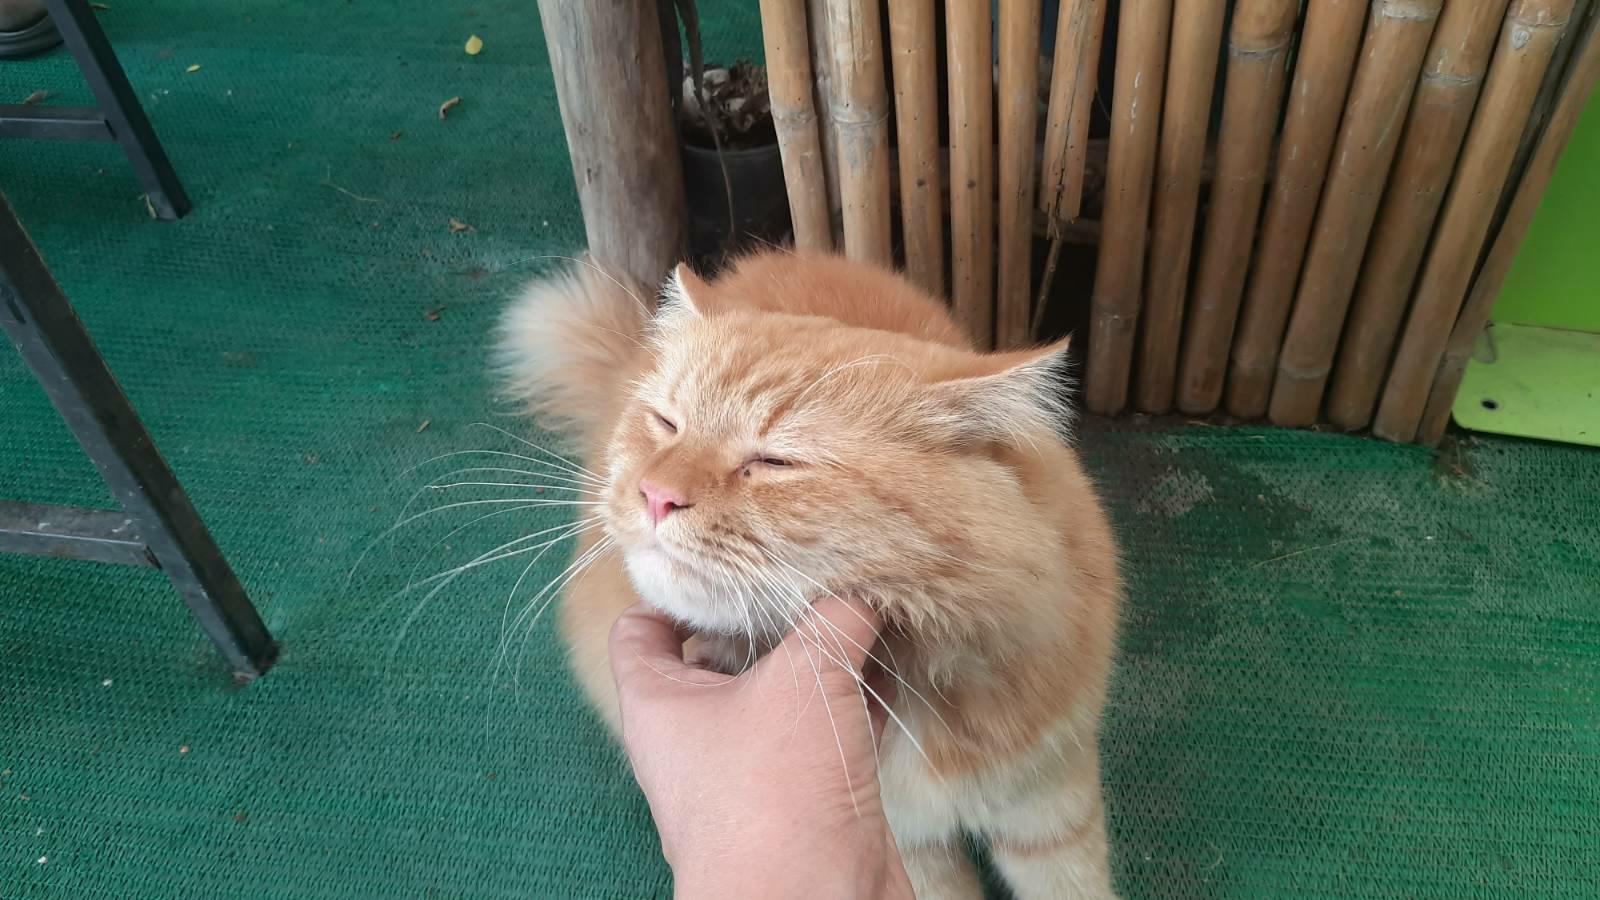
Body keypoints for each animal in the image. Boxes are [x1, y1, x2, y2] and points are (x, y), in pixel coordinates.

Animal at [496, 250, 1122, 899]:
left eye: (775, 461)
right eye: (668, 424)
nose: (656, 494)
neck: (931, 688)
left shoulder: (1053, 810)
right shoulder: (910, 848)